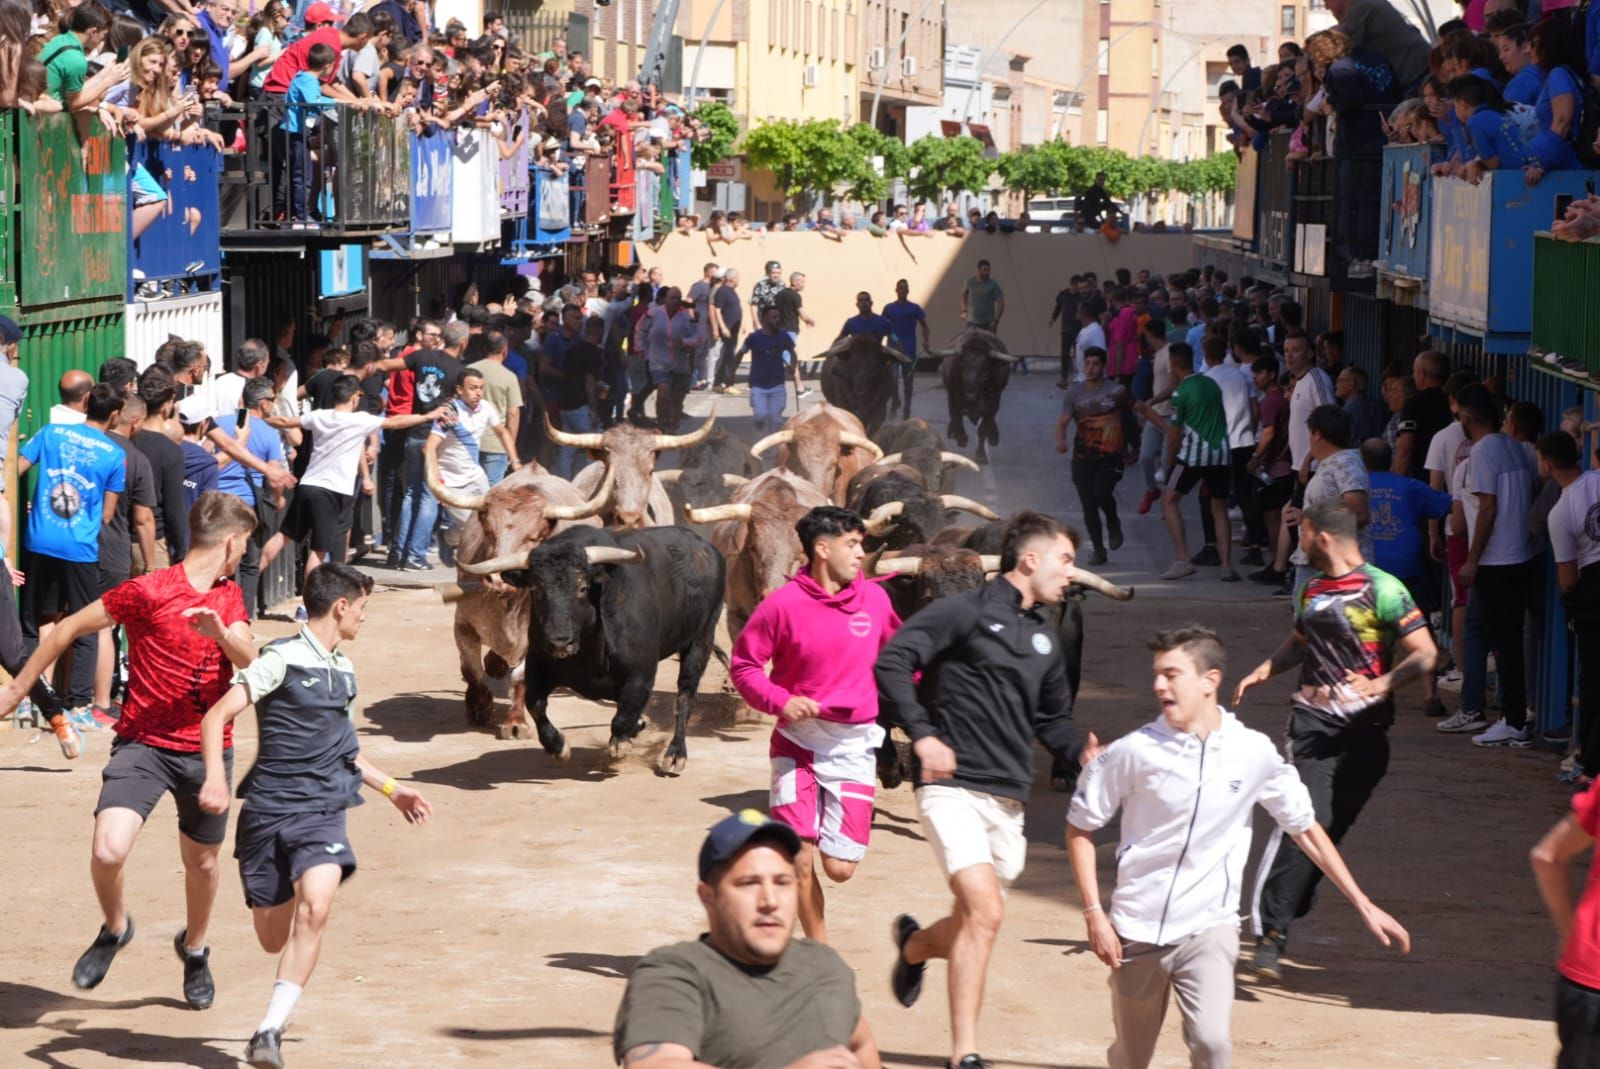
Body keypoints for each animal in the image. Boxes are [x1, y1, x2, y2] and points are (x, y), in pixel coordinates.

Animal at [428, 454, 608, 739]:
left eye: (533, 538)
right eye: (490, 532)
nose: (498, 578)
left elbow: (521, 677)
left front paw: (515, 722)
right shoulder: (463, 624)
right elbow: (471, 669)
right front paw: (480, 706)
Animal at [496, 521, 729, 771]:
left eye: (582, 588)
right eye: (536, 590)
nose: (560, 642)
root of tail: (706, 547)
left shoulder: (641, 672)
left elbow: (624, 714)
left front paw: (622, 743)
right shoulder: (538, 664)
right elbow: (536, 704)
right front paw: (558, 747)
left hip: (701, 638)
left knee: (685, 693)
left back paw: (675, 754)